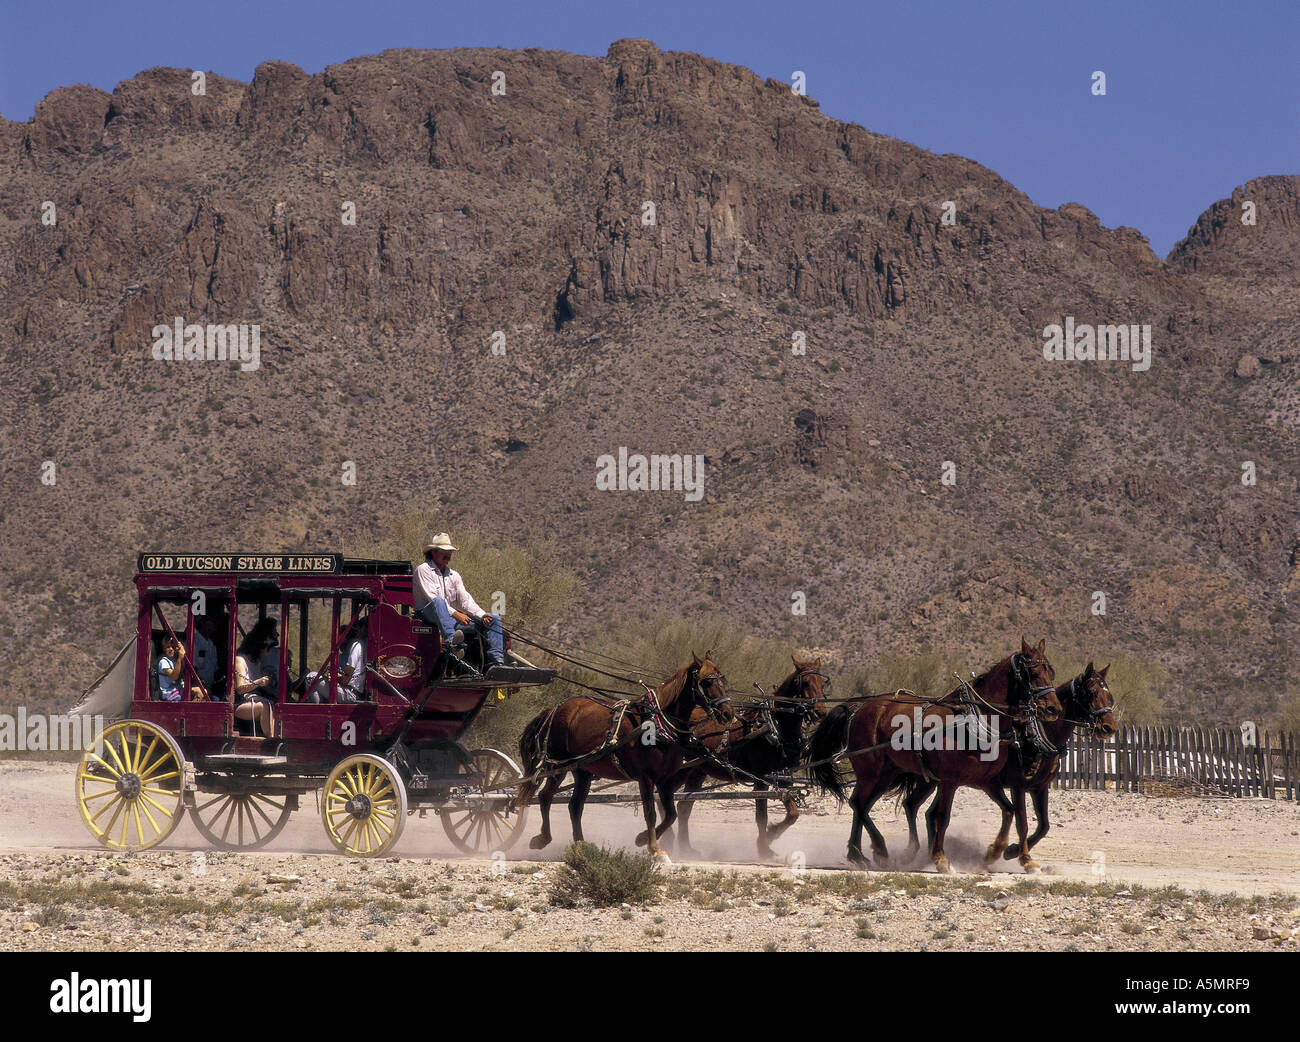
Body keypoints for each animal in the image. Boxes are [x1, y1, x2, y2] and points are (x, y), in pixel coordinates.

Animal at [514, 649, 738, 862]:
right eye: (707, 681)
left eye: (724, 680)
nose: (728, 713)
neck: (657, 723)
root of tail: (553, 709)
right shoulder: (646, 778)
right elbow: (651, 813)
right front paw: (655, 850)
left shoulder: (665, 780)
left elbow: (671, 815)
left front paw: (642, 839)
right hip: (558, 766)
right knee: (545, 797)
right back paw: (542, 838)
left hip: (583, 770)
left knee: (574, 806)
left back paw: (579, 845)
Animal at [670, 654, 832, 857]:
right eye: (805, 683)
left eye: (822, 683)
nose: (820, 711)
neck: (776, 726)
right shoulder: (762, 779)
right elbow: (761, 816)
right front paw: (764, 847)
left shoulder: (784, 777)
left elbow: (793, 814)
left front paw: (771, 835)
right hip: (681, 769)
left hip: (698, 771)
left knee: (683, 807)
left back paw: (685, 847)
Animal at [806, 636, 1060, 873]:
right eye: (1033, 673)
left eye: (1051, 671)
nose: (1054, 708)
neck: (976, 719)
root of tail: (858, 708)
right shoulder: (950, 781)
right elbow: (942, 817)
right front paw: (941, 859)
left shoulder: (987, 781)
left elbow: (1009, 811)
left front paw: (994, 852)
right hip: (871, 772)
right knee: (860, 804)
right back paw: (876, 850)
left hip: (887, 774)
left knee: (863, 805)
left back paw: (861, 854)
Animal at [899, 657, 1123, 867]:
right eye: (1091, 693)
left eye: (1109, 695)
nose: (1109, 727)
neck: (1038, 734)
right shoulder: (1018, 786)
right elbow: (1022, 822)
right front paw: (1022, 857)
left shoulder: (1040, 788)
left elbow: (1044, 826)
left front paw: (1011, 850)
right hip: (935, 780)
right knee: (914, 806)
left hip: (935, 781)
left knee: (925, 811)